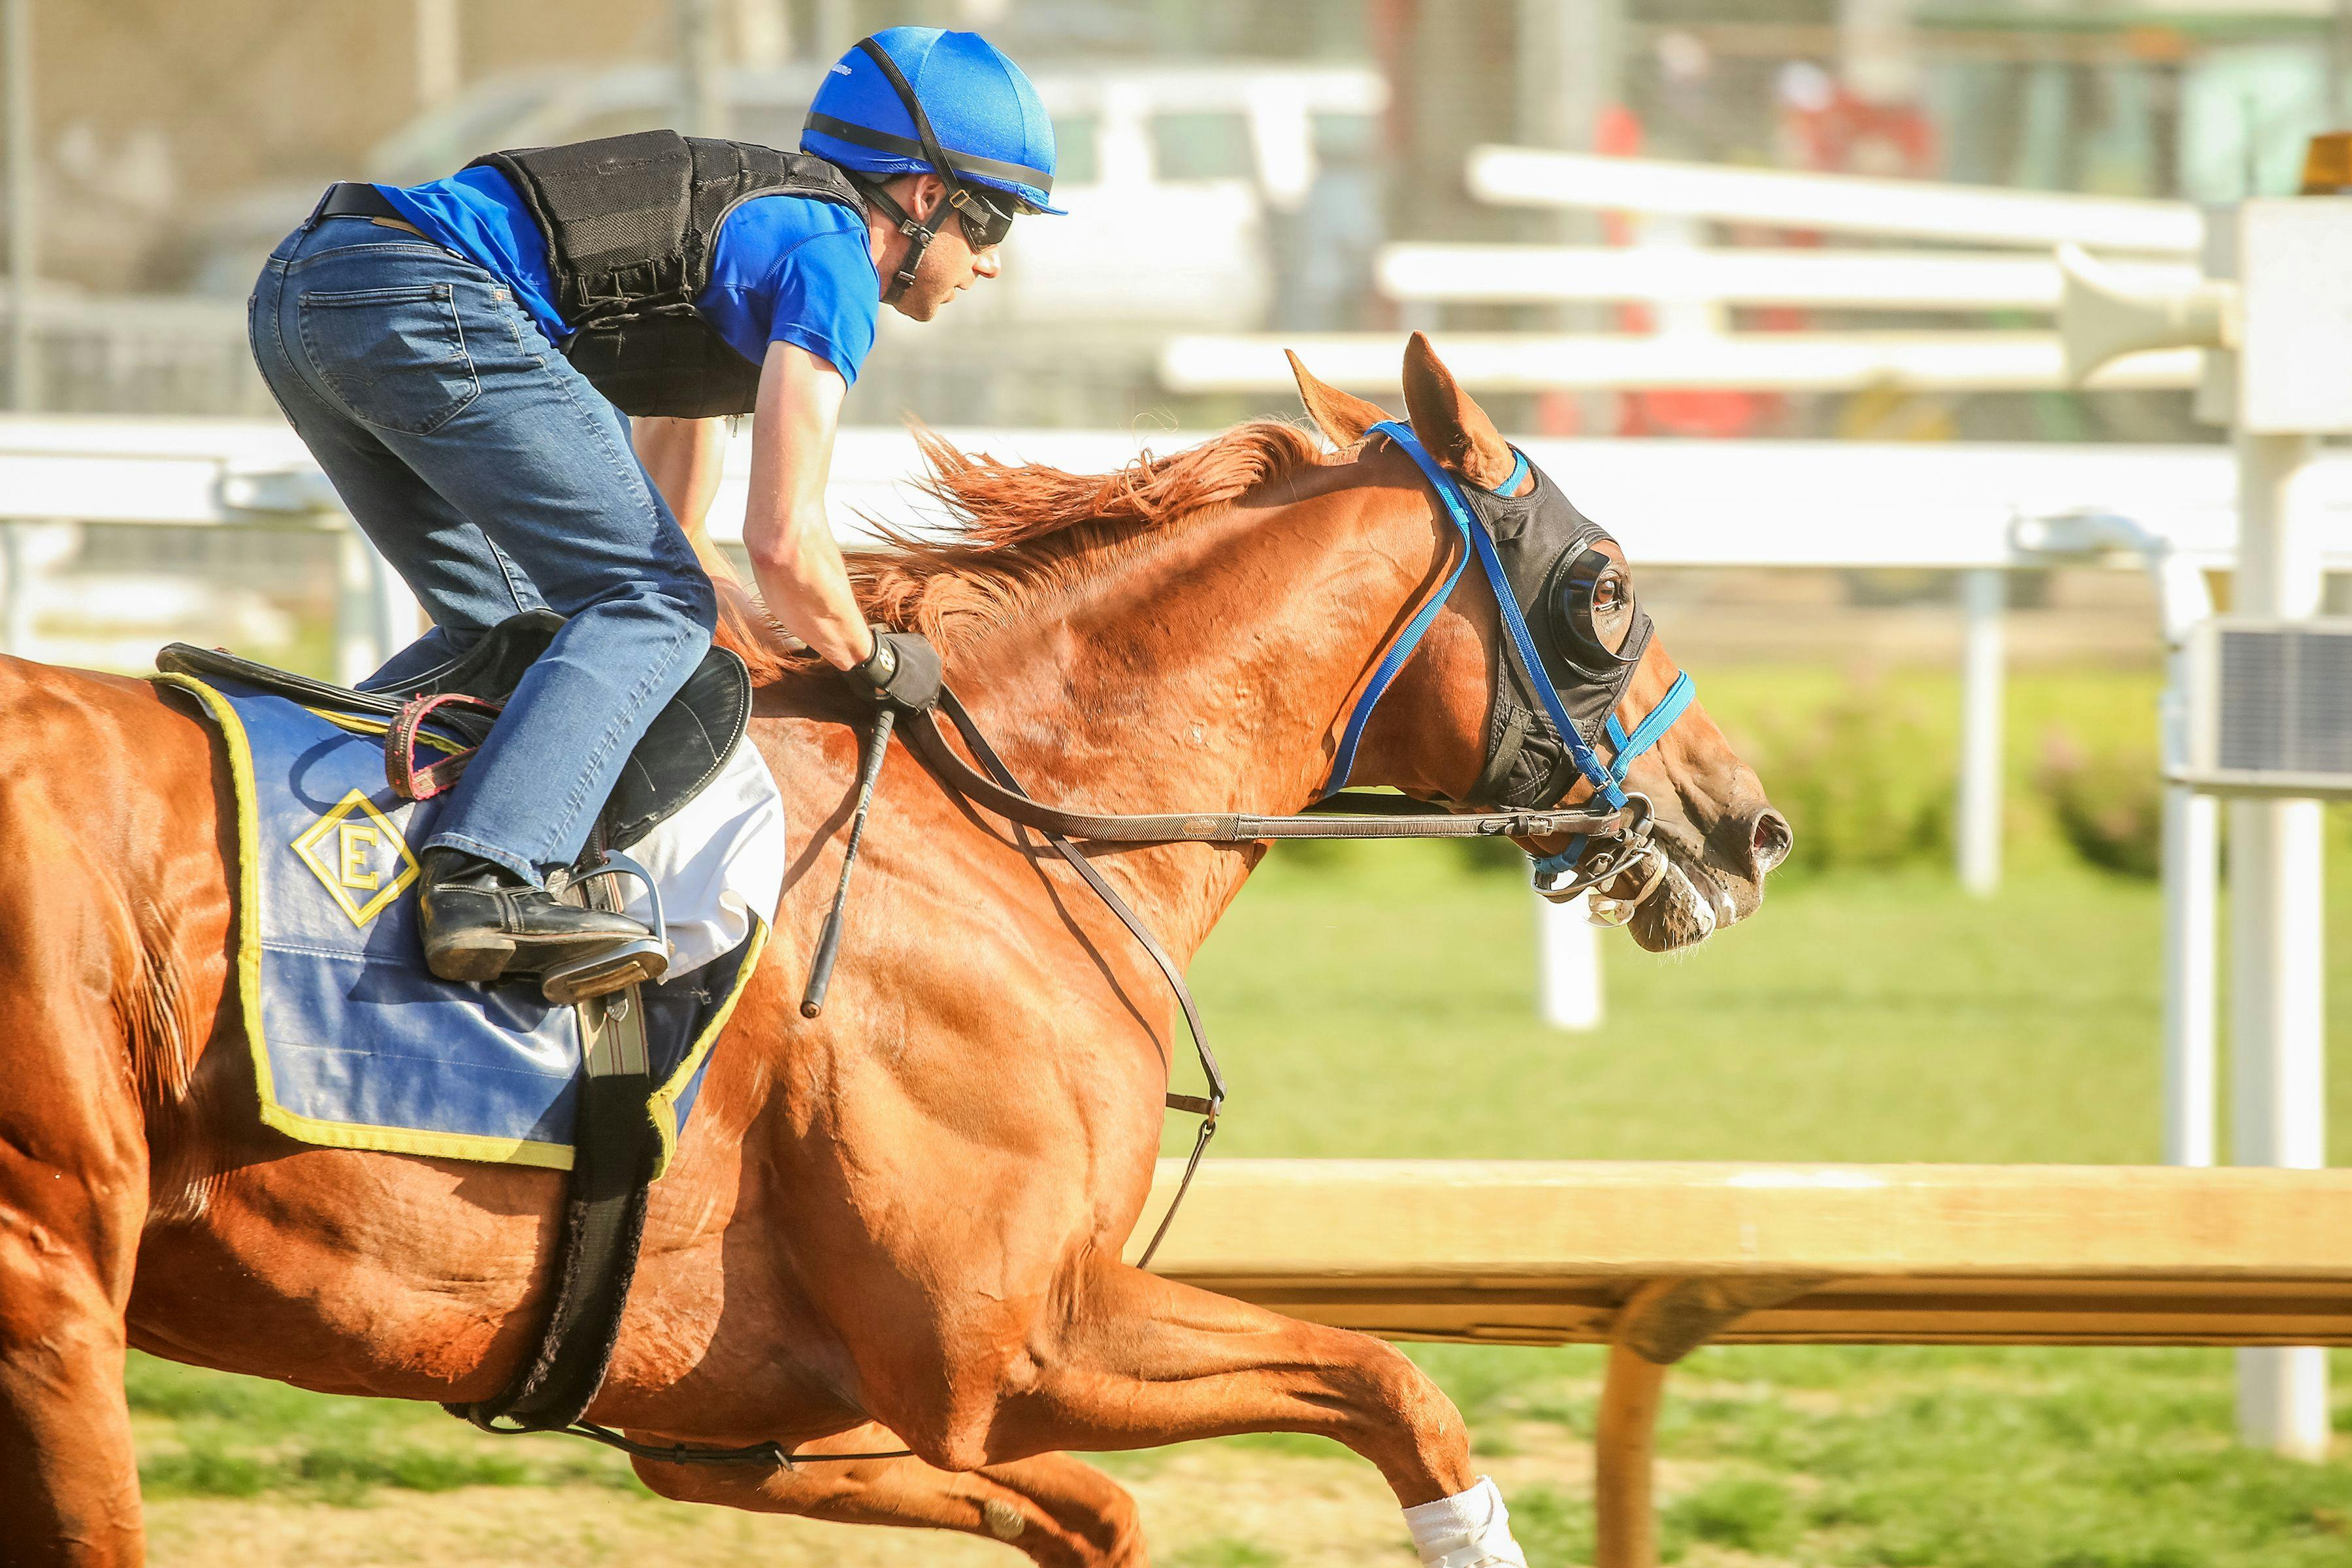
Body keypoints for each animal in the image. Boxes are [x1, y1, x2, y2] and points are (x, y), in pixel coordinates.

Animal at [0, 338, 1778, 1561]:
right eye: (1608, 589)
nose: (1745, 821)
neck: (1009, 829)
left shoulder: (745, 1419)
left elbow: (1105, 1515)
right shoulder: (1008, 1341)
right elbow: (1398, 1389)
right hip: (54, 1276)